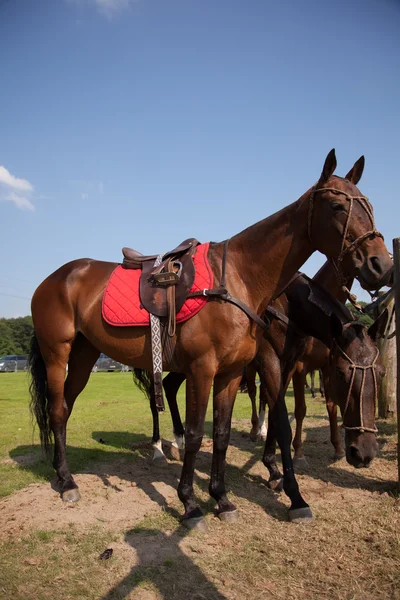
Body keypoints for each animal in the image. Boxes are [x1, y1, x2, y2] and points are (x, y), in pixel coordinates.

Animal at [29, 149, 392, 524]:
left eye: (369, 205)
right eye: (337, 206)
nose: (381, 264)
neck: (238, 279)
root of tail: (55, 278)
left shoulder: (232, 373)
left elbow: (221, 434)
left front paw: (223, 497)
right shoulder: (208, 369)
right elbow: (196, 434)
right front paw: (190, 502)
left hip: (84, 356)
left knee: (66, 407)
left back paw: (66, 471)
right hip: (57, 354)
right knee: (57, 411)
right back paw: (69, 481)